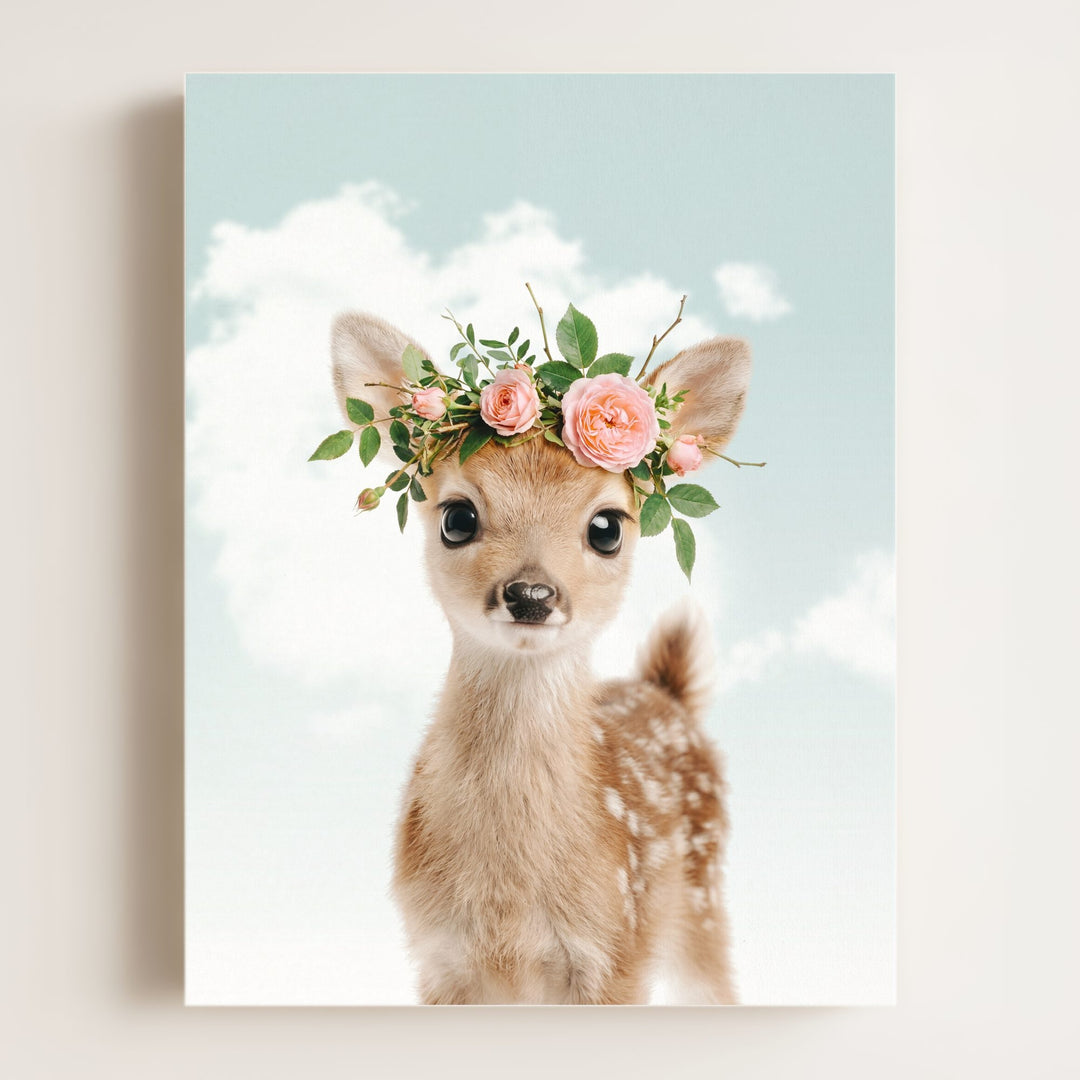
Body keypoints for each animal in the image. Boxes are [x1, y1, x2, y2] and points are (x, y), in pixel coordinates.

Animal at [329, 310, 752, 1004]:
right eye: (457, 517)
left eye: (607, 527)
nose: (531, 595)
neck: (510, 901)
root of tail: (666, 692)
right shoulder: (438, 956)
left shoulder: (617, 950)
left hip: (702, 899)